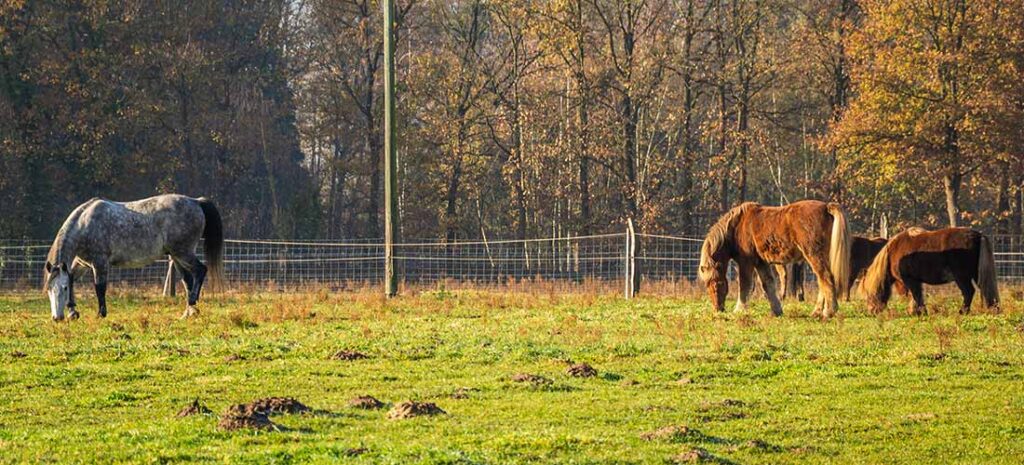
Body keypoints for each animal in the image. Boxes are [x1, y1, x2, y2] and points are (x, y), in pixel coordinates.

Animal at [43, 194, 223, 321]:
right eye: (49, 289)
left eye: (64, 288)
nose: (57, 318)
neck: (84, 224)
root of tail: (196, 202)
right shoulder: (82, 263)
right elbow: (72, 278)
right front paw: (73, 311)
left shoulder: (99, 263)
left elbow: (99, 288)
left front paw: (100, 314)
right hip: (177, 256)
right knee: (188, 281)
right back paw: (189, 312)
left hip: (183, 252)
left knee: (200, 271)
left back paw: (192, 303)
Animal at [698, 200, 852, 318]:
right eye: (707, 284)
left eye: (717, 283)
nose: (718, 309)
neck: (737, 226)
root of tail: (826, 207)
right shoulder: (761, 263)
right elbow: (768, 284)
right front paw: (776, 310)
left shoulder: (746, 263)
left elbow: (745, 285)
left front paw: (739, 309)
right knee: (823, 282)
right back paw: (817, 312)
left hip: (814, 255)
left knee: (826, 279)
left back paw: (828, 312)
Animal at [860, 227, 998, 315]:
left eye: (868, 293)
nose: (872, 311)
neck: (893, 253)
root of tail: (979, 236)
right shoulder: (915, 281)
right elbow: (916, 295)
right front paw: (915, 311)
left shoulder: (909, 280)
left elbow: (915, 295)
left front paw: (919, 312)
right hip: (975, 275)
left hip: (962, 277)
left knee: (969, 292)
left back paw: (962, 312)